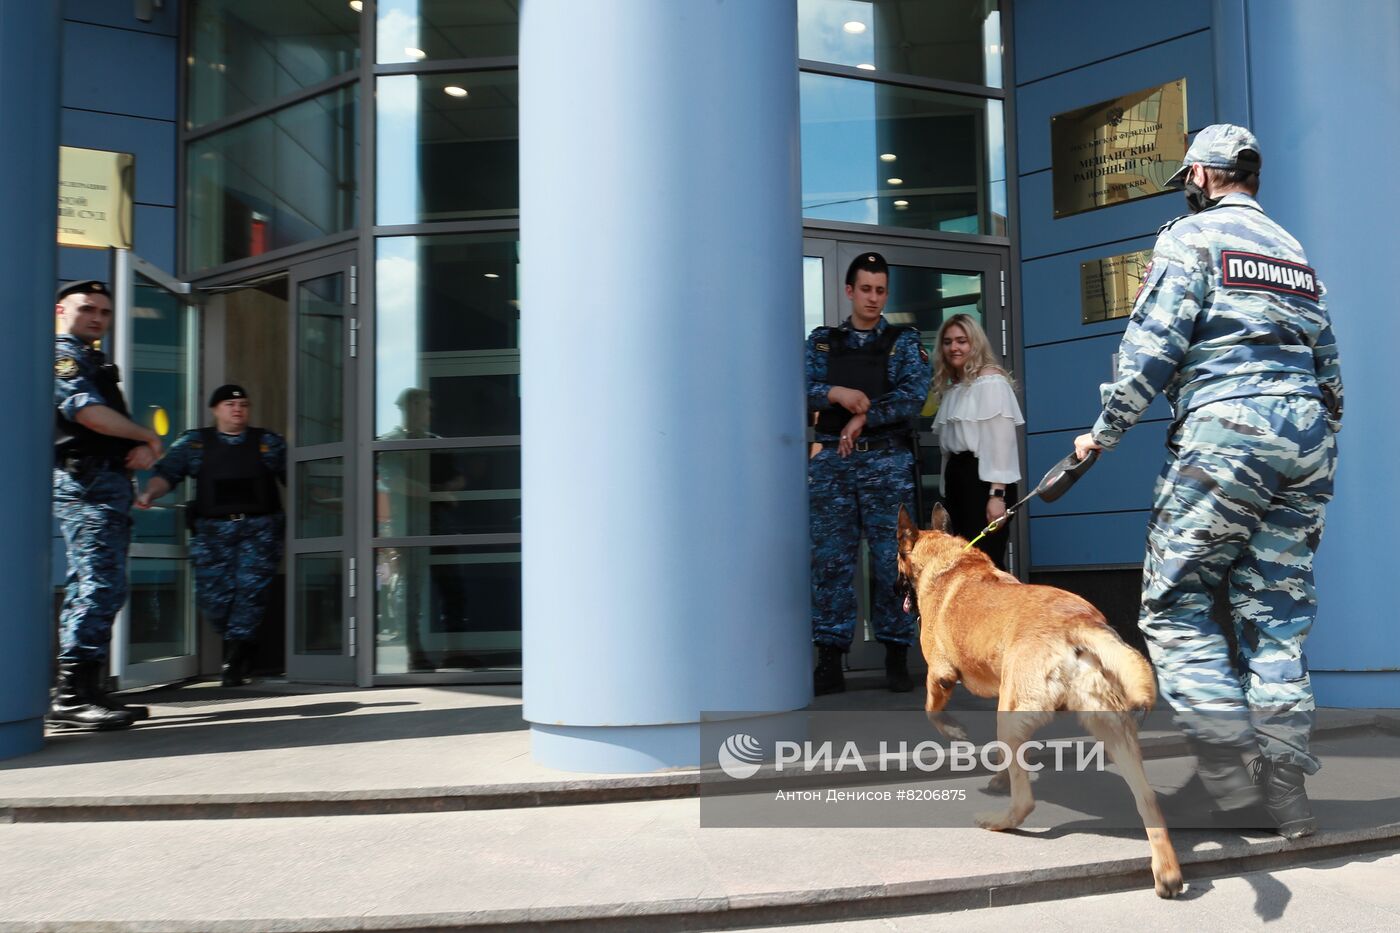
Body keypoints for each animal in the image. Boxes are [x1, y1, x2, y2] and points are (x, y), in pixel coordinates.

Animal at [896, 504, 1181, 896]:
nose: (894, 589)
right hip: (1110, 727)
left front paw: (954, 732)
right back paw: (1167, 872)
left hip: (1010, 716)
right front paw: (998, 774)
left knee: (1025, 800)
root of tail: (1079, 622)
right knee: (1147, 798)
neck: (950, 561)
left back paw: (1000, 821)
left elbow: (932, 712)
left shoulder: (939, 675)